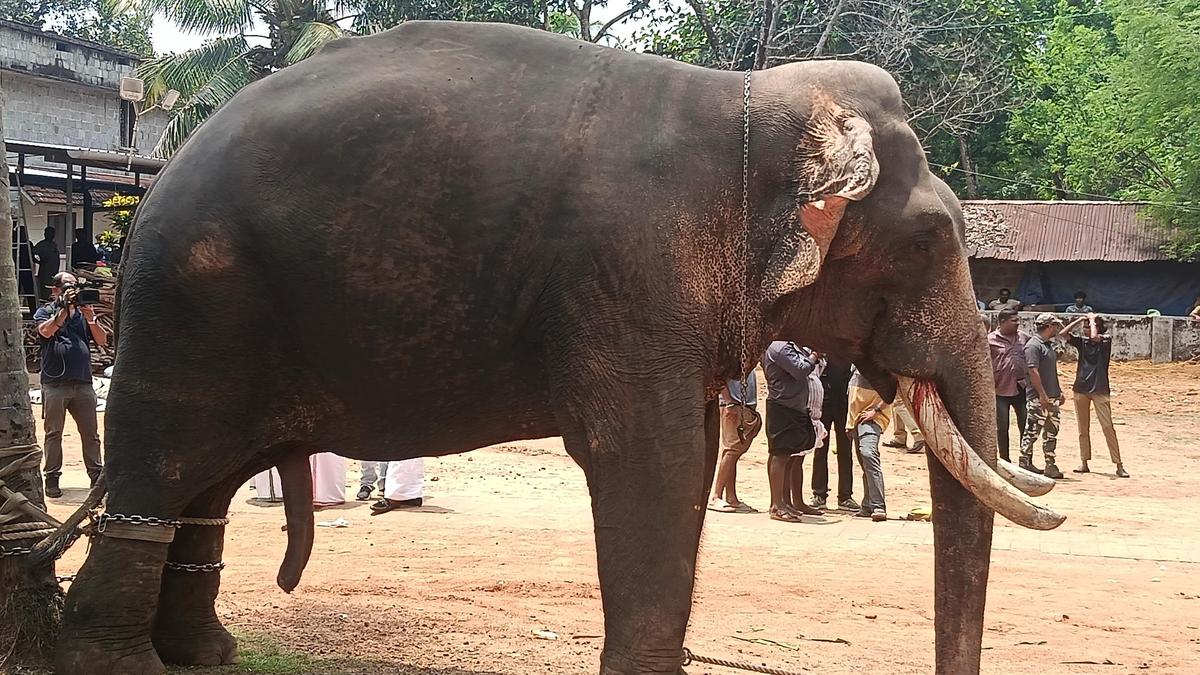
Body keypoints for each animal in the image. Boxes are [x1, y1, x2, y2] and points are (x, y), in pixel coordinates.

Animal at [50, 20, 1063, 675]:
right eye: (932, 240)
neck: (752, 106)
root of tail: (148, 191)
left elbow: (686, 456)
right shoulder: (632, 273)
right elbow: (653, 464)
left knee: (205, 486)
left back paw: (205, 654)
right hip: (191, 310)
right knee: (162, 467)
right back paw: (117, 662)